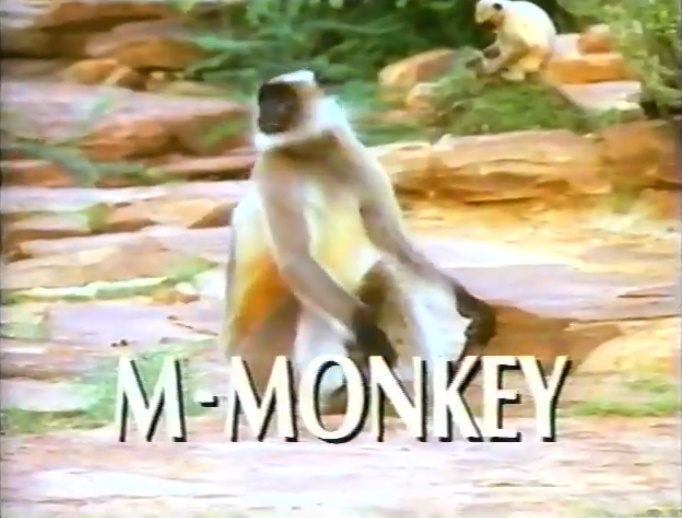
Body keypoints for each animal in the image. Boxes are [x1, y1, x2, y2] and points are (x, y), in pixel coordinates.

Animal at [220, 69, 496, 410]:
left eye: (280, 102)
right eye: (265, 102)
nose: (265, 114)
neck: (311, 152)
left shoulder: (355, 155)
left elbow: (391, 240)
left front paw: (468, 303)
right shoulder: (273, 168)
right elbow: (296, 259)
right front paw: (370, 335)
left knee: (385, 275)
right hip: (261, 358)